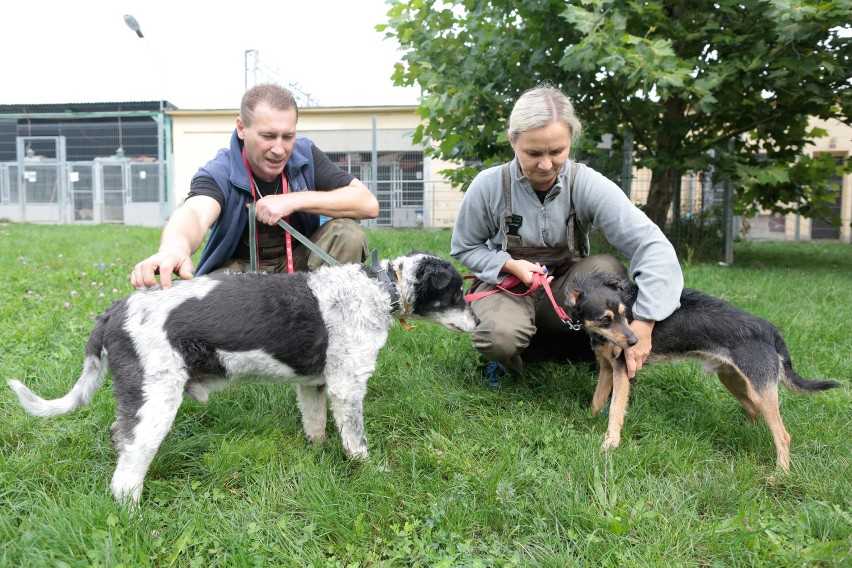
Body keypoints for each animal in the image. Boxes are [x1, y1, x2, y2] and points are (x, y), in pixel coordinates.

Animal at [8, 251, 480, 504]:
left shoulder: (312, 384)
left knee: (119, 439)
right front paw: (370, 473)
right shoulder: (348, 386)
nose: (478, 322)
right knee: (126, 475)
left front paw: (316, 455)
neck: (382, 289)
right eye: (457, 291)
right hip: (157, 401)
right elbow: (357, 443)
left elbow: (316, 428)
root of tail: (115, 311)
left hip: (138, 398)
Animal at [564, 270, 840, 470]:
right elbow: (597, 402)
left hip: (760, 387)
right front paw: (589, 422)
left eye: (625, 313)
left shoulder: (622, 372)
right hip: (733, 379)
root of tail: (769, 329)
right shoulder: (607, 369)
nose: (634, 342)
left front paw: (610, 443)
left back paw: (779, 475)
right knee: (755, 412)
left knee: (783, 435)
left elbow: (615, 410)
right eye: (606, 319)